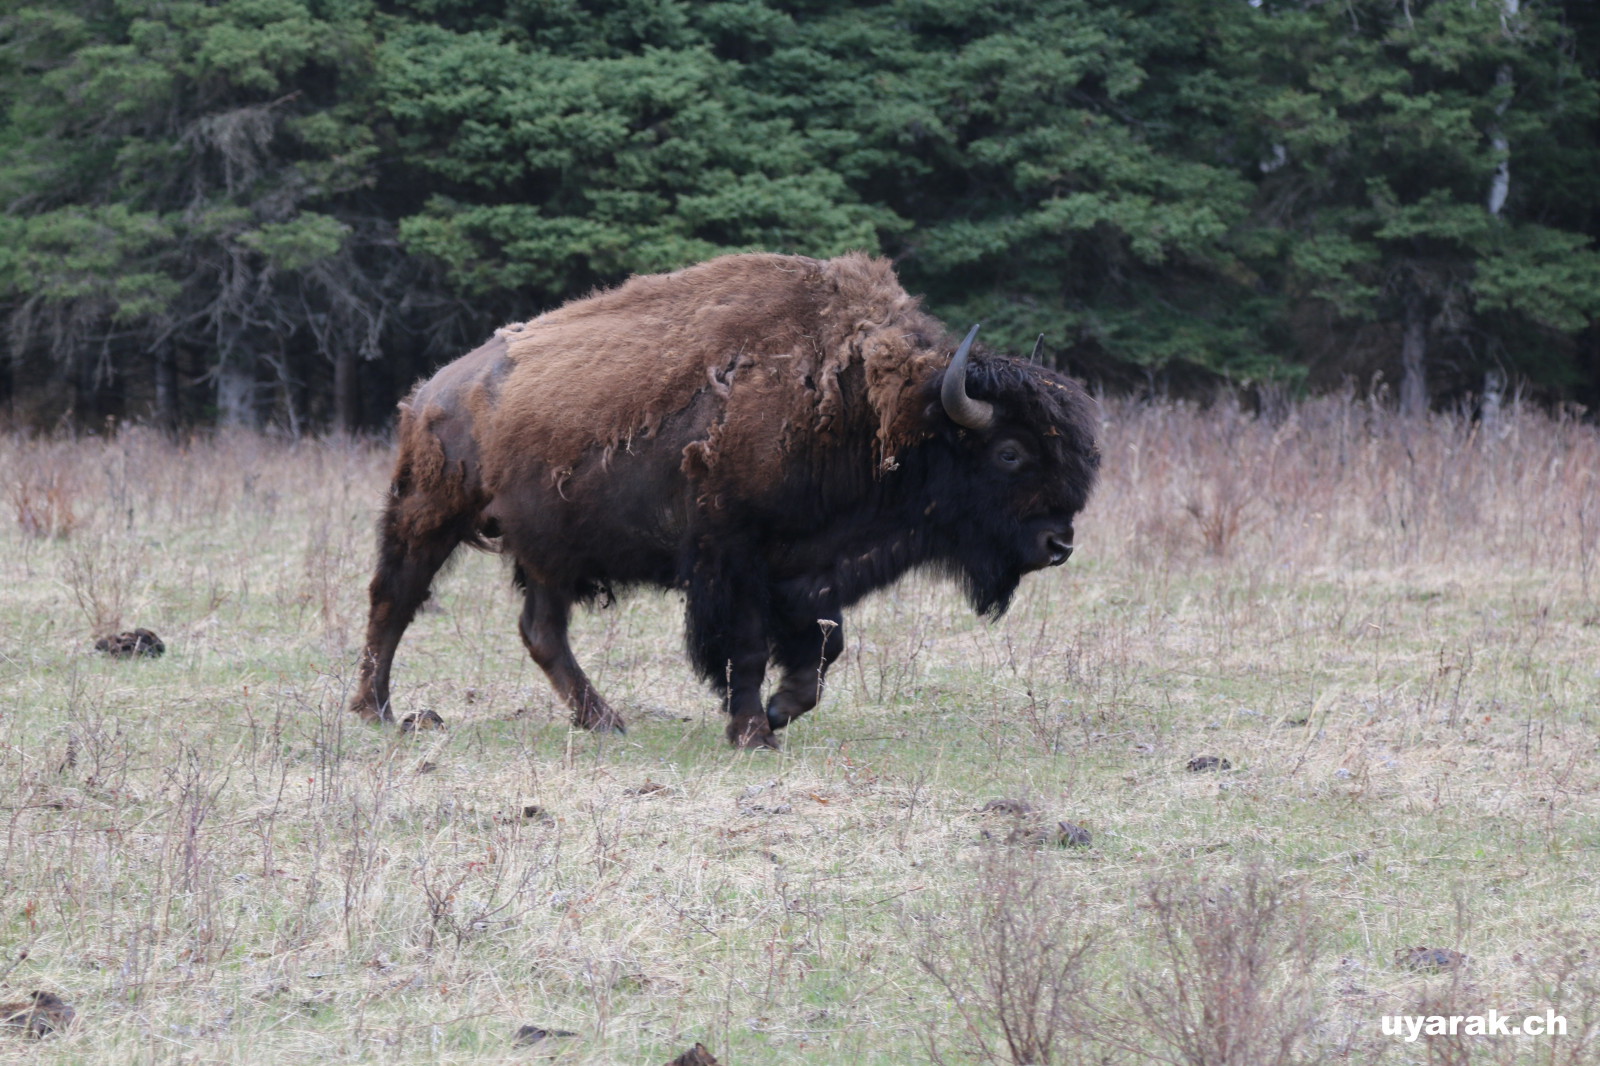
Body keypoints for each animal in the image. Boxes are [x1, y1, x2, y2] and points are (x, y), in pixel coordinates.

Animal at [349, 253, 1099, 748]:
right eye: (1010, 451)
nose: (1059, 543)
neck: (880, 412)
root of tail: (432, 390)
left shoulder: (807, 568)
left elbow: (822, 646)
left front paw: (779, 712)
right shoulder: (731, 557)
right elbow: (745, 647)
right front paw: (752, 730)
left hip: (547, 552)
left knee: (541, 631)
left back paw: (605, 722)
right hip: (428, 514)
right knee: (394, 600)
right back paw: (376, 711)